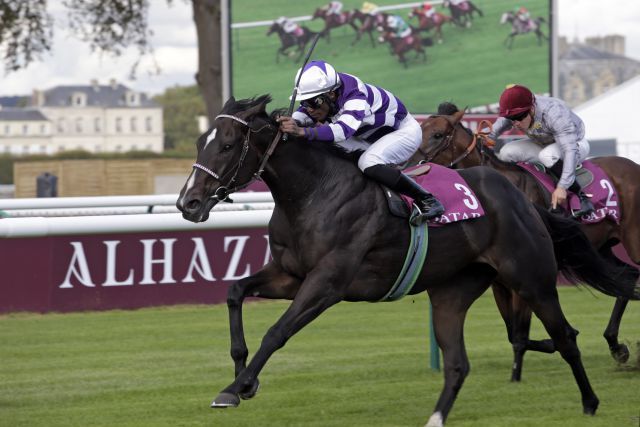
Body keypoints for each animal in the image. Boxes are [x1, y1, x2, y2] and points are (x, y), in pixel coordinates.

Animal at [410, 103, 640, 382]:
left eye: (436, 135)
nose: (407, 163)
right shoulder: (499, 282)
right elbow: (513, 333)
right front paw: (559, 340)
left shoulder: (527, 275)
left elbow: (520, 335)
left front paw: (516, 377)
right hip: (603, 247)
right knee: (626, 276)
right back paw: (616, 345)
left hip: (633, 240)